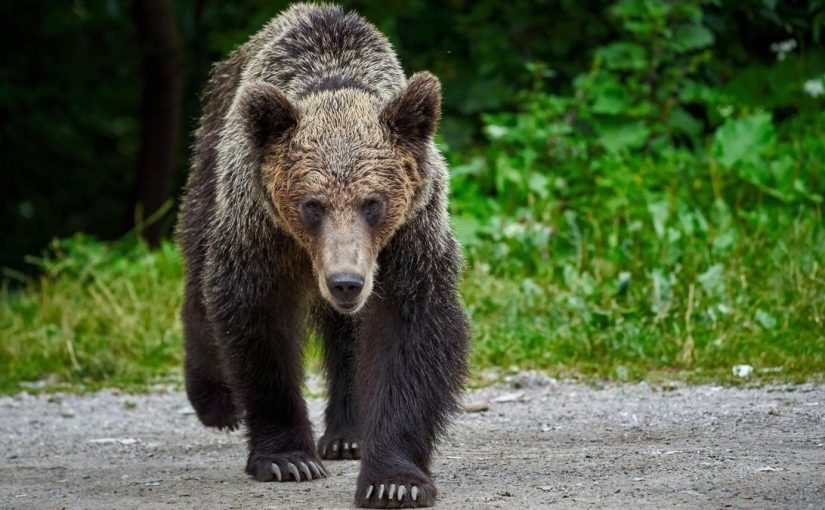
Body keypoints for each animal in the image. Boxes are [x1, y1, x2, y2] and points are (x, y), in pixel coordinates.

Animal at [175, 2, 470, 506]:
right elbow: (259, 322)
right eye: (312, 204)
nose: (345, 282)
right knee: (198, 274)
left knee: (347, 337)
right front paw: (288, 458)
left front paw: (394, 480)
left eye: (373, 202)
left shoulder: (408, 238)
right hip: (210, 172)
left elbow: (409, 334)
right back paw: (215, 400)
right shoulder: (262, 231)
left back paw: (348, 434)